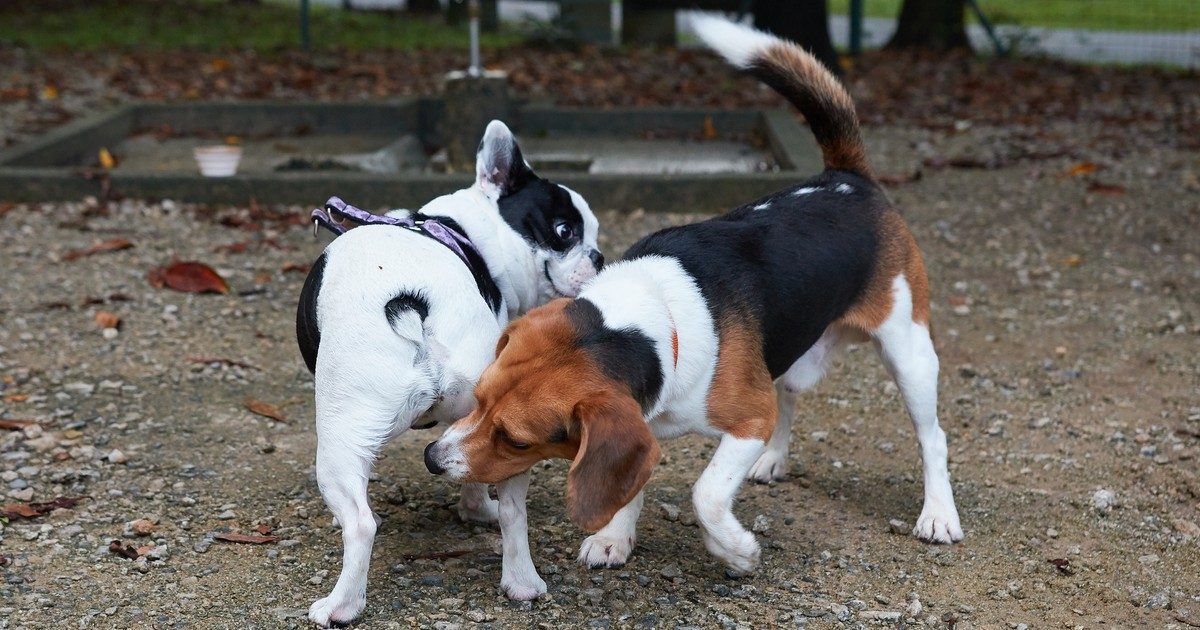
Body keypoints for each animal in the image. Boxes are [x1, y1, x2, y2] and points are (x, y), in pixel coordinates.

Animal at [296, 119, 604, 624]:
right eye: (565, 231)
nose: (598, 256)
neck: (471, 232)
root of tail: (413, 301)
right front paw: (478, 508)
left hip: (341, 432)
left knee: (360, 524)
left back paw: (340, 606)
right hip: (501, 420)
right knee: (514, 511)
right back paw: (521, 582)